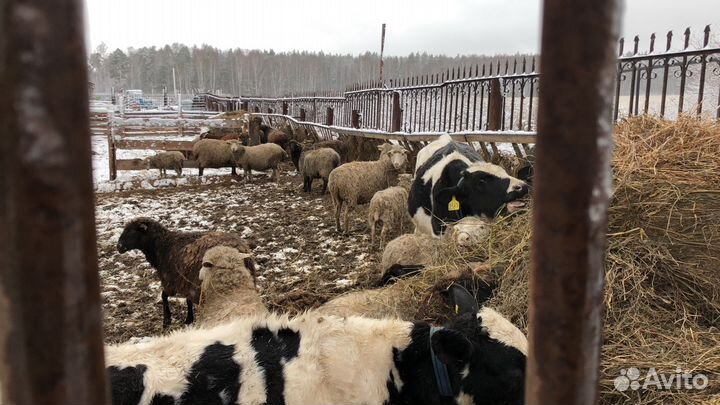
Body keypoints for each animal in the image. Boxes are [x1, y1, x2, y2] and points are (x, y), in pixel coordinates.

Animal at [116, 217, 255, 329]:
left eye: (131, 232)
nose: (118, 247)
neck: (162, 246)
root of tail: (242, 250)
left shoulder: (171, 281)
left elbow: (163, 296)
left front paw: (167, 320)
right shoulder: (186, 281)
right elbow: (187, 300)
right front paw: (189, 319)